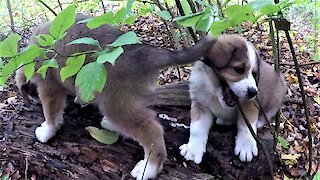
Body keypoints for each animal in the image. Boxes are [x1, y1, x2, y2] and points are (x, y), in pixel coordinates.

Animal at [15, 14, 215, 179]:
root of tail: (140, 52)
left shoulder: (49, 85)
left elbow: (51, 112)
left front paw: (46, 131)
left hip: (114, 101)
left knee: (152, 129)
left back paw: (148, 168)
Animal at [179, 34, 286, 164]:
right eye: (239, 69)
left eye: (254, 74)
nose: (253, 92)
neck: (214, 92)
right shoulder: (200, 104)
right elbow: (196, 129)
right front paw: (193, 149)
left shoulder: (249, 104)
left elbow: (246, 126)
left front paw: (246, 146)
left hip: (275, 99)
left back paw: (259, 122)